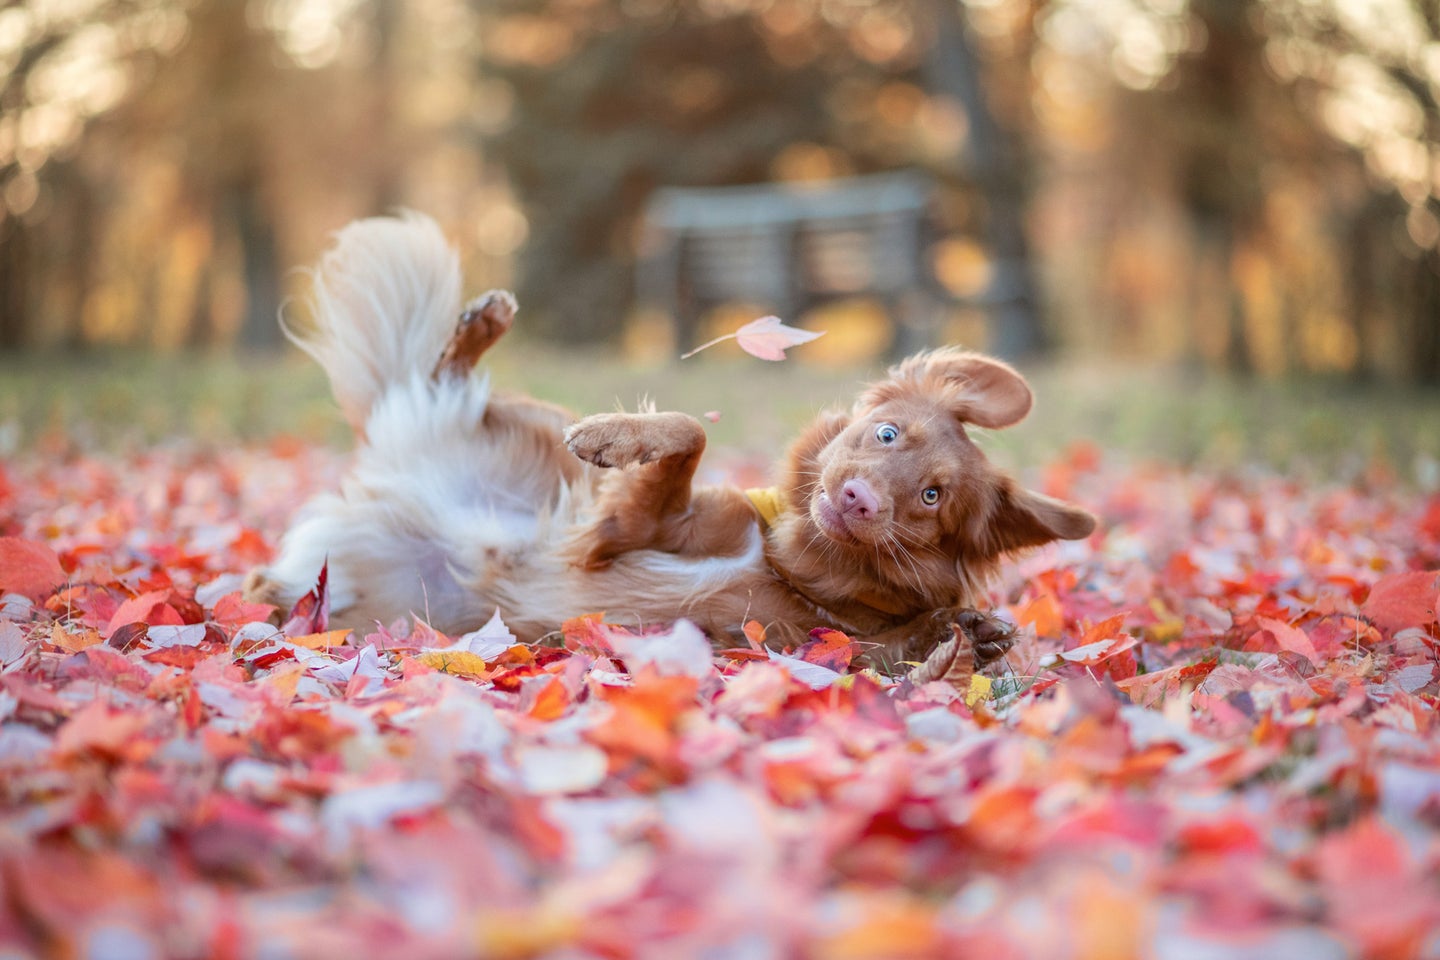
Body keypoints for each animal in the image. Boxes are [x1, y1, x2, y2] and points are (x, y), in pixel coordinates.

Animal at [241, 214, 1094, 673]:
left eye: (931, 497)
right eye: (885, 433)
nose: (856, 498)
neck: (791, 566)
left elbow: (913, 647)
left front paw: (971, 639)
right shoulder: (630, 527)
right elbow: (687, 431)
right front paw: (612, 438)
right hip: (530, 427)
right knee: (444, 378)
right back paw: (481, 323)